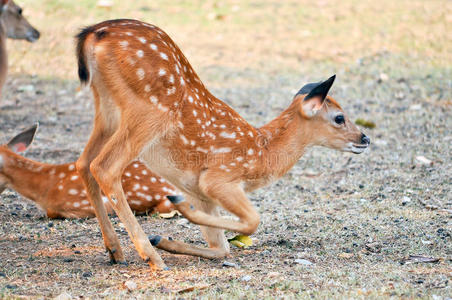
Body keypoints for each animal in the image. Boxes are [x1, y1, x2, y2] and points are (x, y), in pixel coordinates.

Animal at [75, 18, 370, 270]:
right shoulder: (219, 177)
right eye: (339, 118)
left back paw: (117, 251)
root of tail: (94, 33)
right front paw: (179, 210)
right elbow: (252, 221)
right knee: (105, 167)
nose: (365, 138)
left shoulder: (201, 193)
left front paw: (168, 239)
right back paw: (151, 256)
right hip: (150, 111)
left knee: (83, 162)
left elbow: (221, 248)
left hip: (107, 109)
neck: (262, 154)